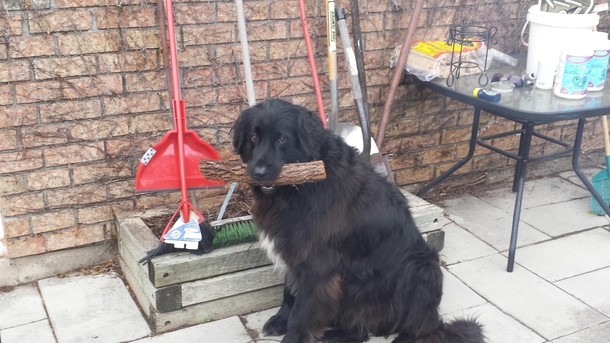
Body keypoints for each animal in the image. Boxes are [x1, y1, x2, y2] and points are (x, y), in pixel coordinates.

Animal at [230, 99, 482, 343]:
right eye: (254, 137)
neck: (300, 190)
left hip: (422, 268)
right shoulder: (294, 251)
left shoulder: (317, 267)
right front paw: (280, 320)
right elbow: (289, 293)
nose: (258, 173)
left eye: (282, 138)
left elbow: (301, 313)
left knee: (410, 330)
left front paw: (291, 335)